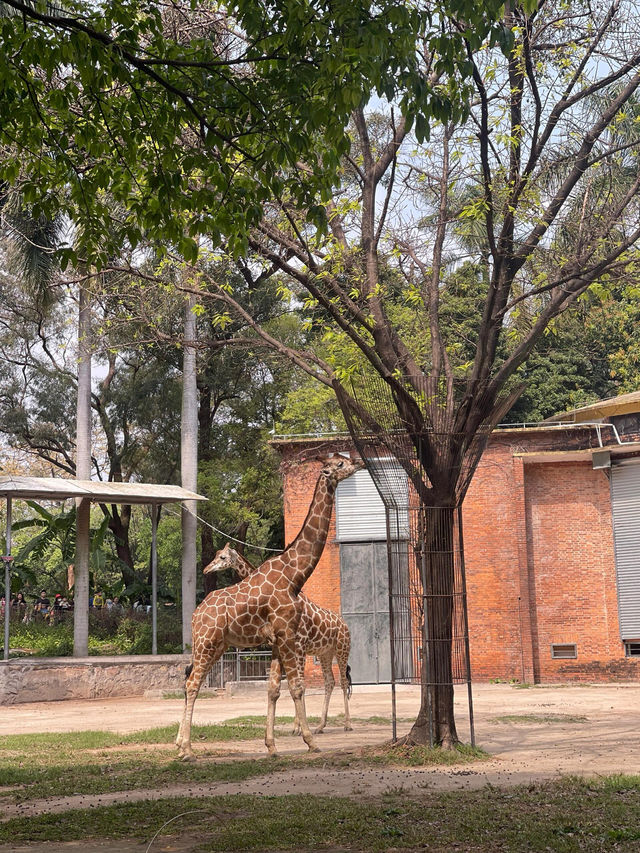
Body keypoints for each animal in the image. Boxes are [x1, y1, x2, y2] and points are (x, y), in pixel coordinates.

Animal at [205, 544, 352, 740]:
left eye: (222, 557)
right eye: (215, 554)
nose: (206, 569)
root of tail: (345, 625)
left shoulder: (300, 645)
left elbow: (300, 683)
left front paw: (298, 727)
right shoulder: (292, 647)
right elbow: (295, 684)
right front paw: (298, 726)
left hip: (342, 649)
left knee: (343, 681)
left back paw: (347, 724)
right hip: (325, 653)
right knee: (330, 682)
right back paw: (320, 726)